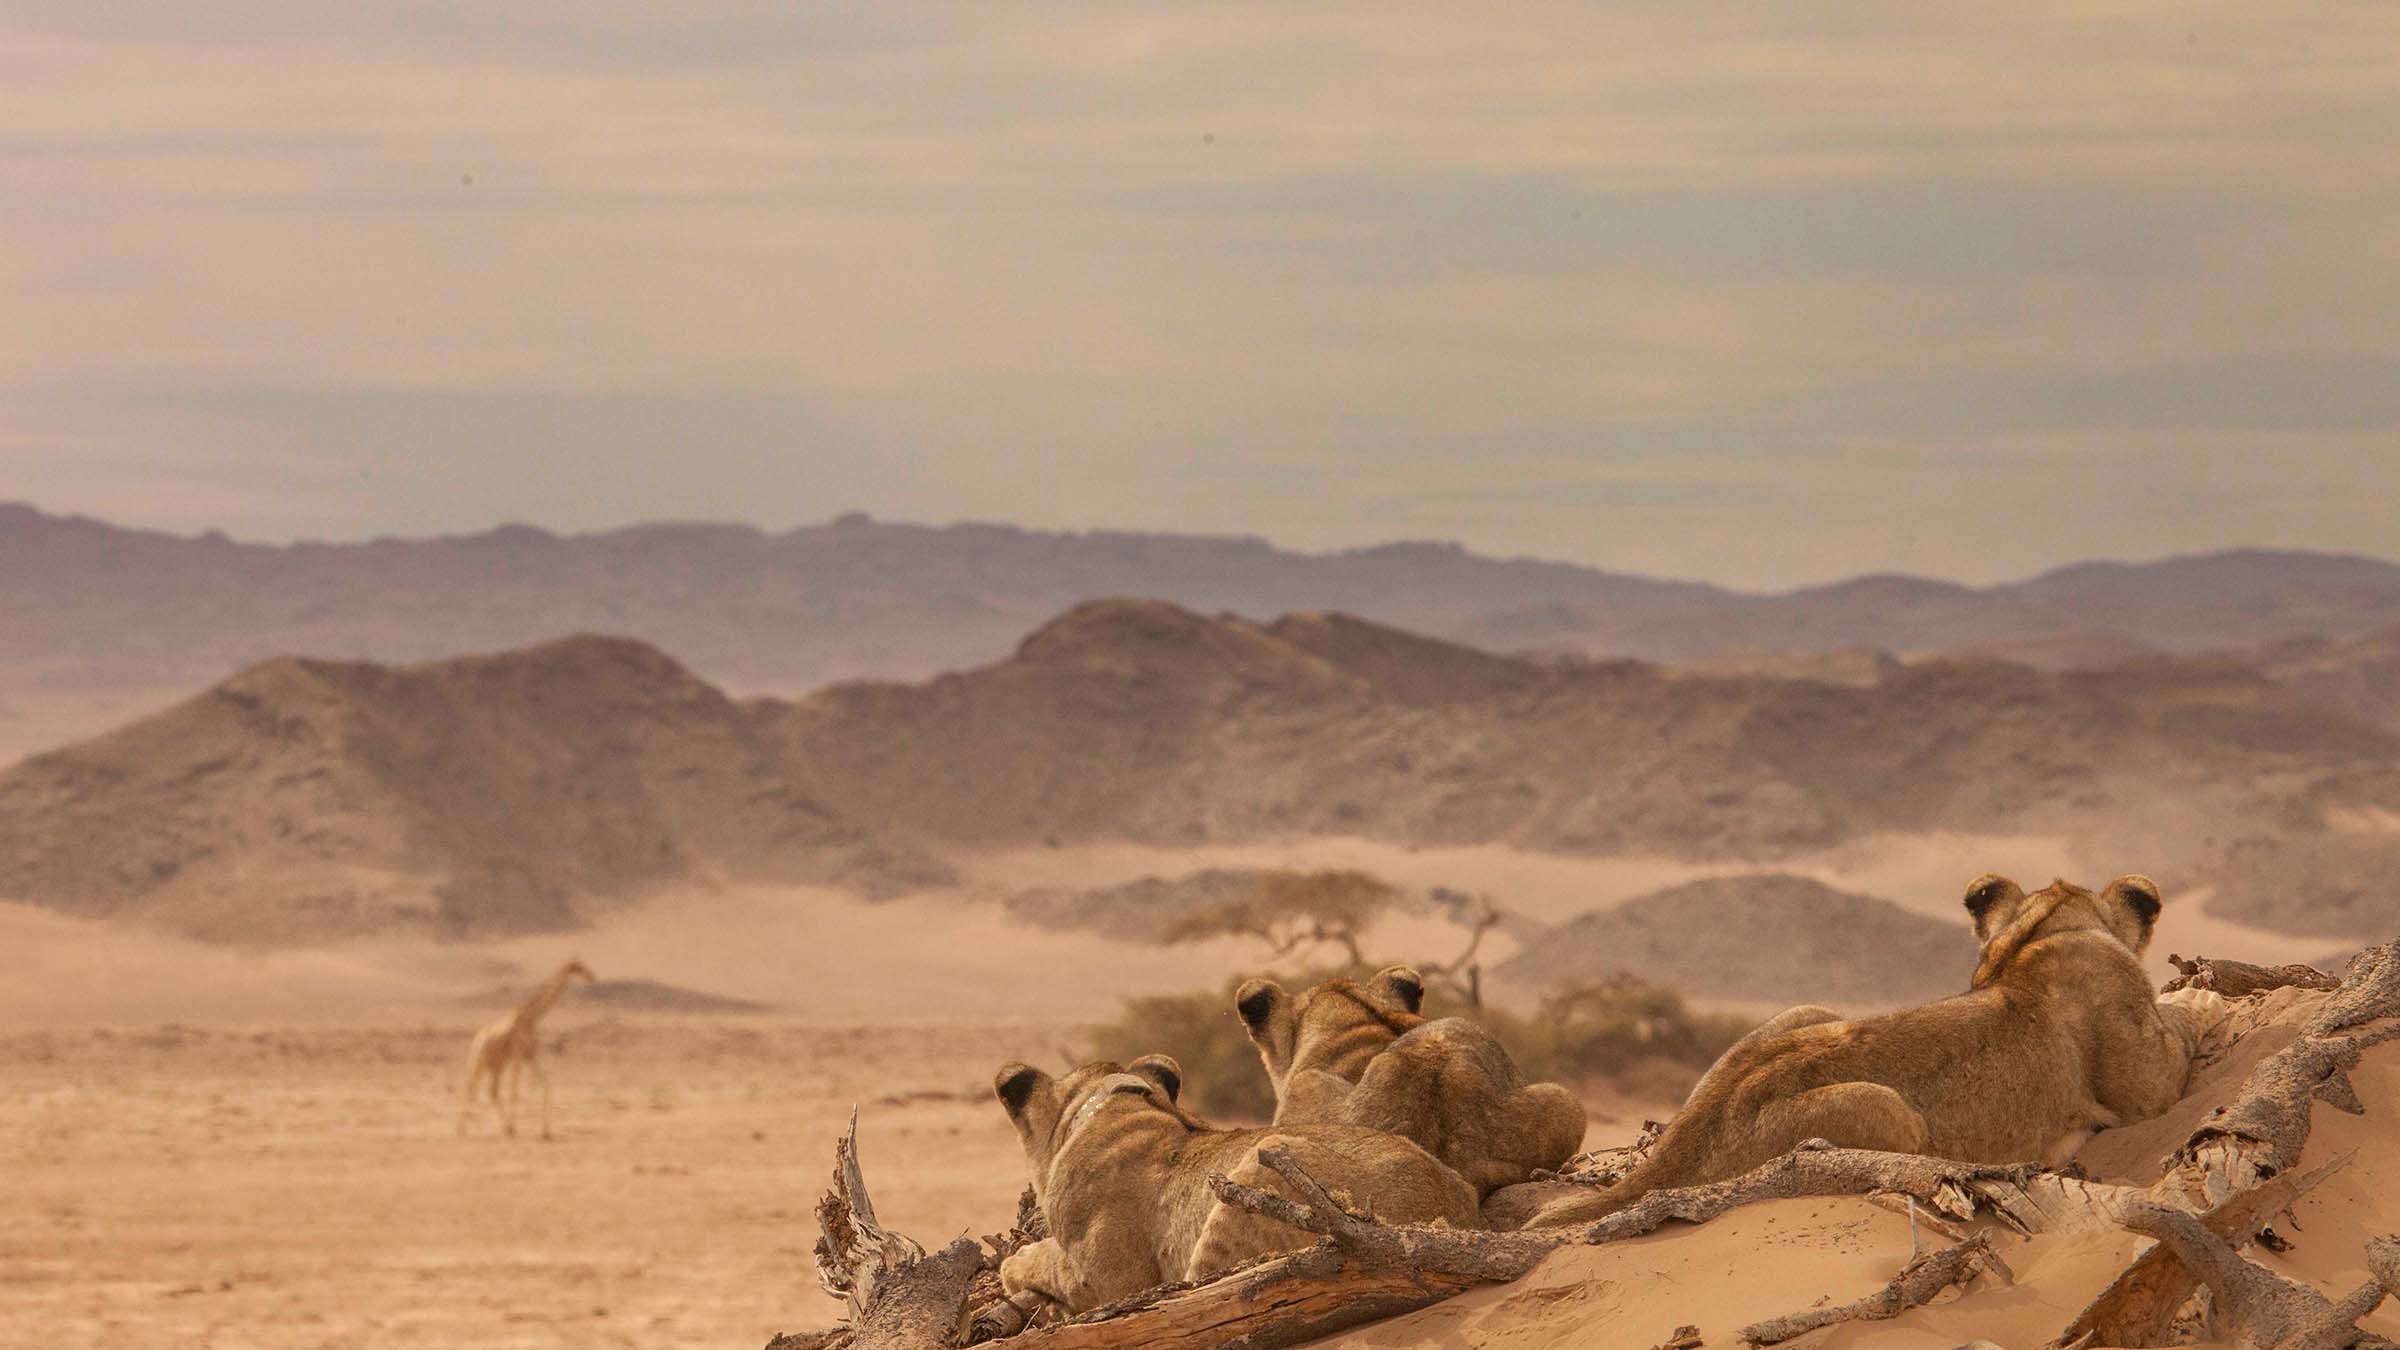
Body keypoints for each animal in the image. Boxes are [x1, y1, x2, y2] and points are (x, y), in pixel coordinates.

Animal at [456, 956, 592, 1133]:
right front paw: (516, 1126)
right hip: (483, 1063)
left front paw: (545, 1131)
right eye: (578, 966)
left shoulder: (530, 1057)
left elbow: (546, 1085)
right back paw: (465, 1129)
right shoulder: (518, 1056)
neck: (532, 1018)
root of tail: (476, 1042)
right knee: (472, 1088)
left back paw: (497, 1127)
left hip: (495, 1065)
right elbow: (515, 1093)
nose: (592, 976)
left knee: (490, 1091)